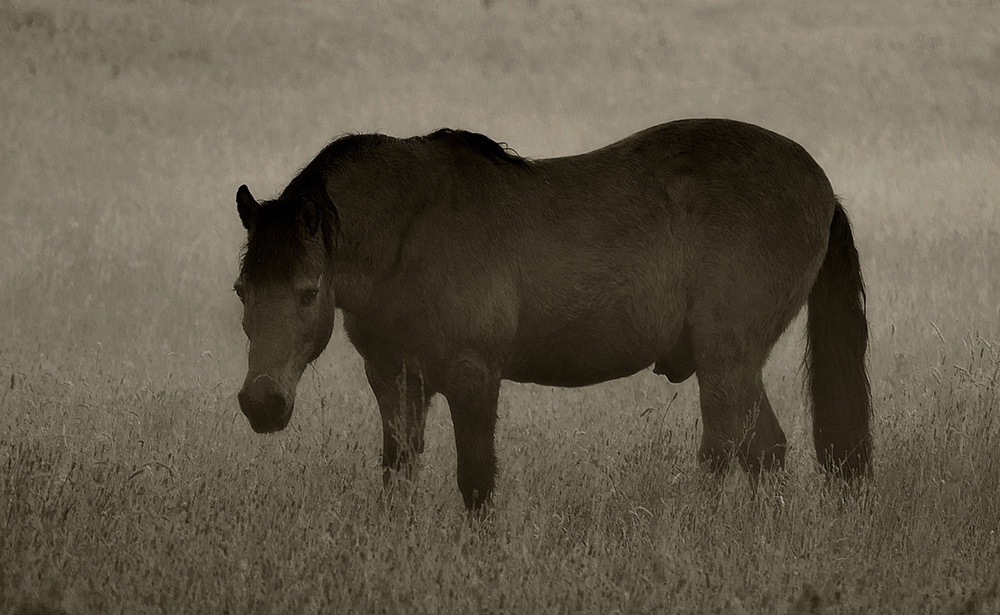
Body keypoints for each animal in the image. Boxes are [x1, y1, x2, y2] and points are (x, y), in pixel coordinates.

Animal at [238, 119, 872, 510]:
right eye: (243, 291)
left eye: (307, 291)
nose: (261, 403)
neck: (412, 231)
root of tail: (822, 189)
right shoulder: (395, 379)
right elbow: (398, 474)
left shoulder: (474, 378)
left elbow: (476, 481)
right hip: (736, 364)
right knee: (765, 452)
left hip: (726, 360)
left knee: (724, 452)